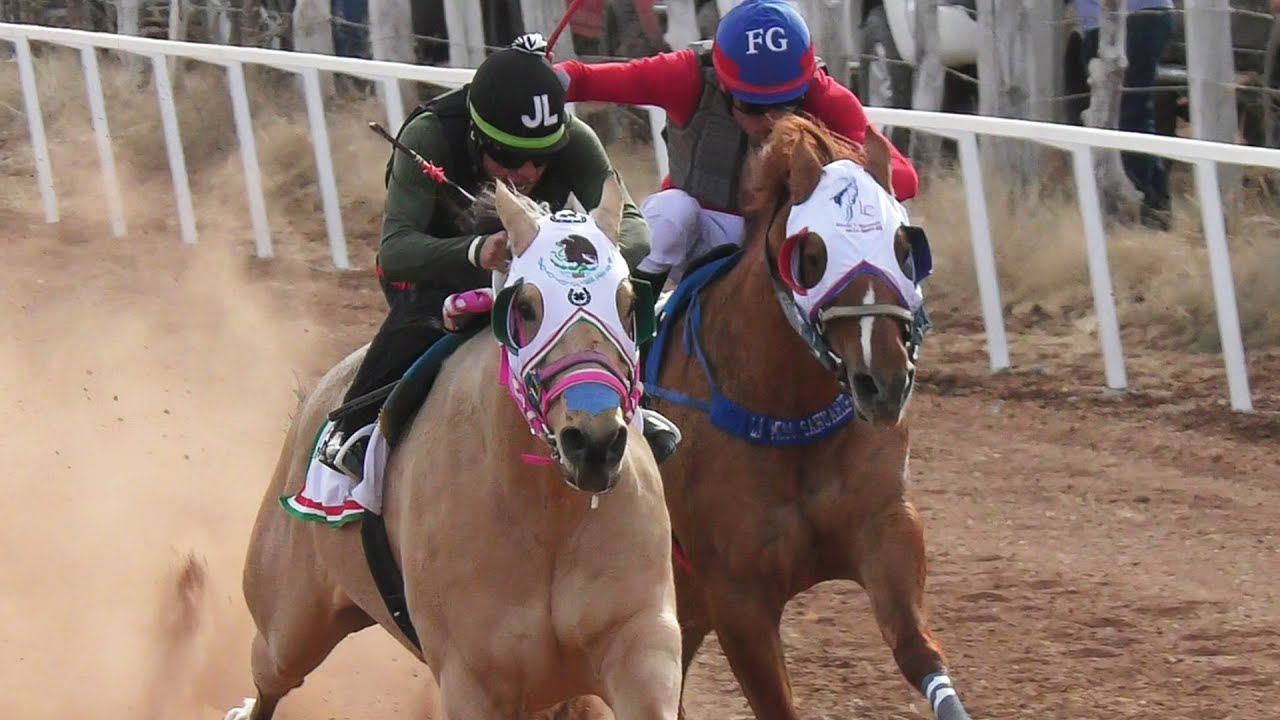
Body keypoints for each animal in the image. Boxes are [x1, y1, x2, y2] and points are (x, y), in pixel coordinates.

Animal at [224, 175, 683, 720]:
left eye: (629, 305)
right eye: (525, 308)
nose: (593, 442)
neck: (548, 515)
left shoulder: (639, 644)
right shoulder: (474, 680)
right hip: (287, 623)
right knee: (268, 679)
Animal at [643, 114, 974, 720]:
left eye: (904, 246)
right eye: (812, 255)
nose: (883, 382)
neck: (786, 417)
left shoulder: (886, 528)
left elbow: (918, 650)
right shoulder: (737, 595)